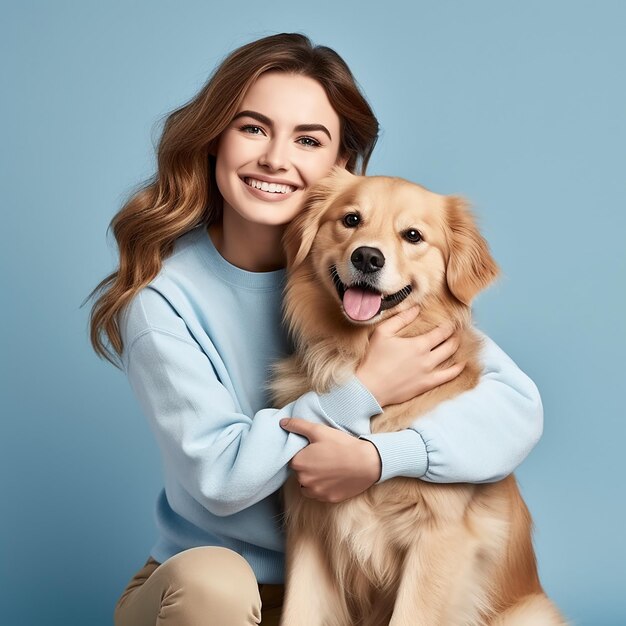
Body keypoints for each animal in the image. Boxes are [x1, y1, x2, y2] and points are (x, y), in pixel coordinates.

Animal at [266, 167, 564, 624]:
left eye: (412, 235)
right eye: (351, 220)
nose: (367, 257)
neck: (357, 356)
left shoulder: (440, 539)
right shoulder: (311, 529)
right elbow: (299, 613)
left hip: (530, 612)